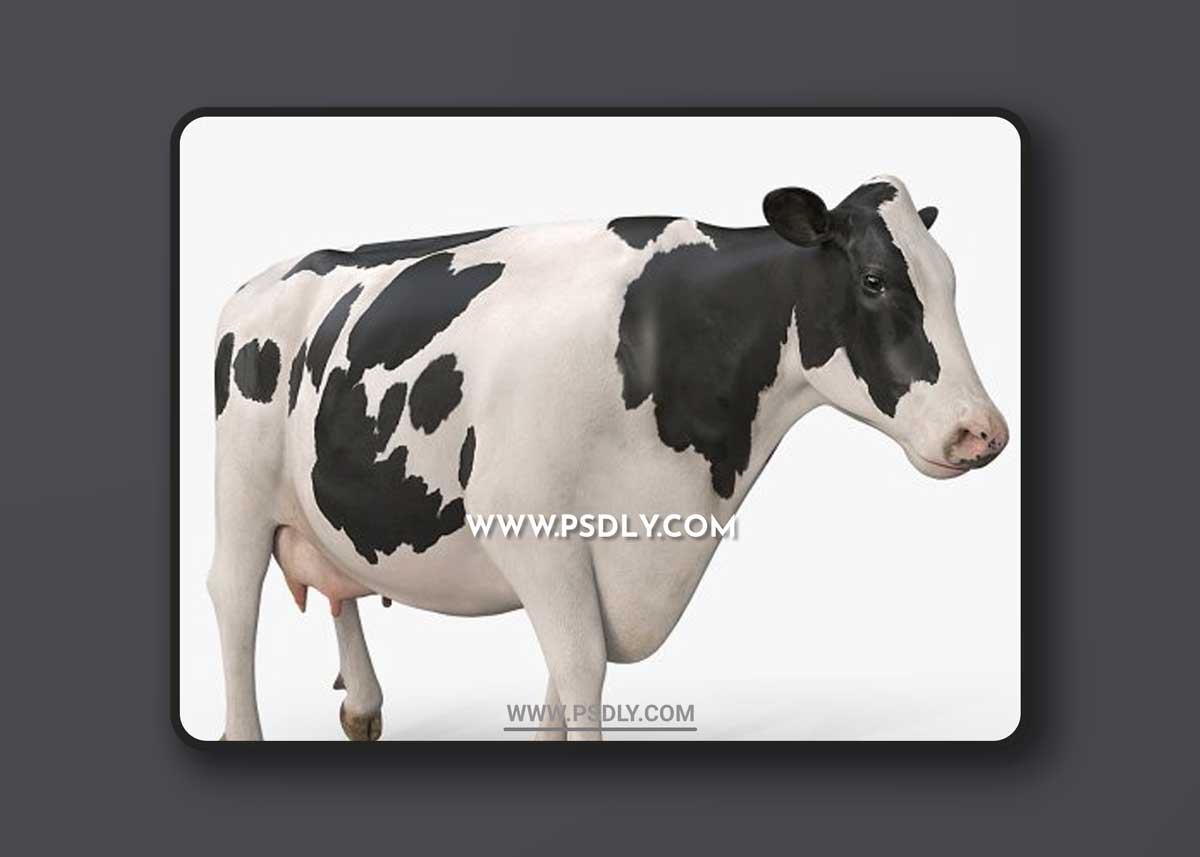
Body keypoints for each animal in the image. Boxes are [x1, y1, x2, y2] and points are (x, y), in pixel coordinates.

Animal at [207, 175, 1009, 741]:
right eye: (874, 280)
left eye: (951, 284)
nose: (982, 433)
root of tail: (269, 276)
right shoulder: (527, 523)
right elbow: (581, 666)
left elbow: (563, 679)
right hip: (240, 490)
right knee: (234, 599)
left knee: (339, 582)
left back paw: (364, 707)